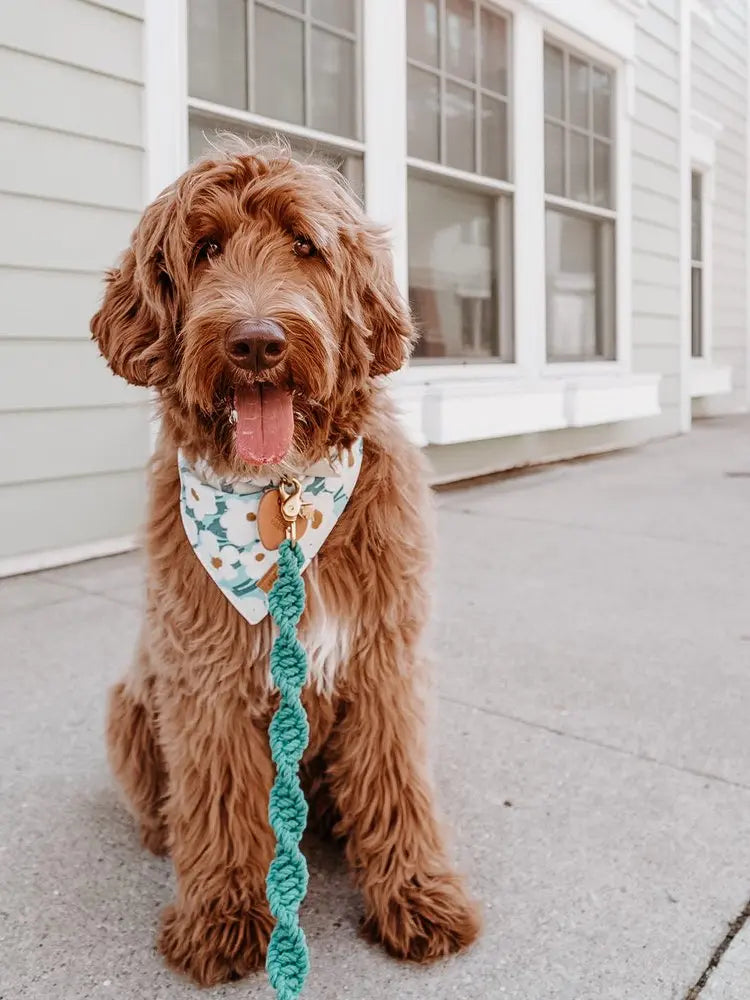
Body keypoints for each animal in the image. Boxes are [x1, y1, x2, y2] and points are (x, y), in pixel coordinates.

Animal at [92, 141, 482, 984]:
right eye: (205, 248)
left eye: (305, 245)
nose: (257, 343)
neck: (284, 493)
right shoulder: (205, 674)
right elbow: (218, 800)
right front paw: (222, 916)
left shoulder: (383, 659)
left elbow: (395, 781)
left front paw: (418, 897)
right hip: (131, 701)